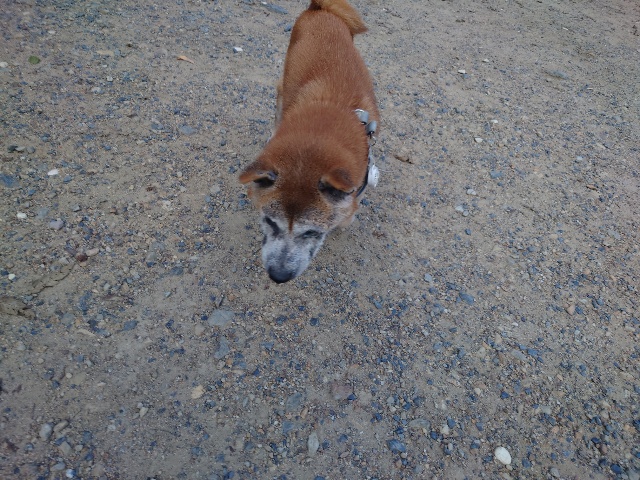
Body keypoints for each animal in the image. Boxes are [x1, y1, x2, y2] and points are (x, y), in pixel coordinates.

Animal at [239, 0, 379, 283]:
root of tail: (320, 9)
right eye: (270, 222)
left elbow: (346, 215)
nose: (278, 276)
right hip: (284, 81)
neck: (320, 133)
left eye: (312, 232)